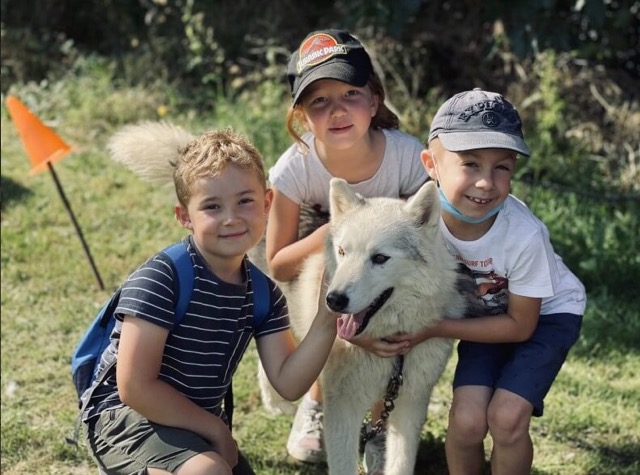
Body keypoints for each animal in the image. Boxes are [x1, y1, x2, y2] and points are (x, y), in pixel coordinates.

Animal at [107, 122, 472, 475]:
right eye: (343, 252)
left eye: (380, 258)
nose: (334, 301)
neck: (392, 346)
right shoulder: (343, 408)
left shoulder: (410, 404)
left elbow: (399, 462)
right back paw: (275, 401)